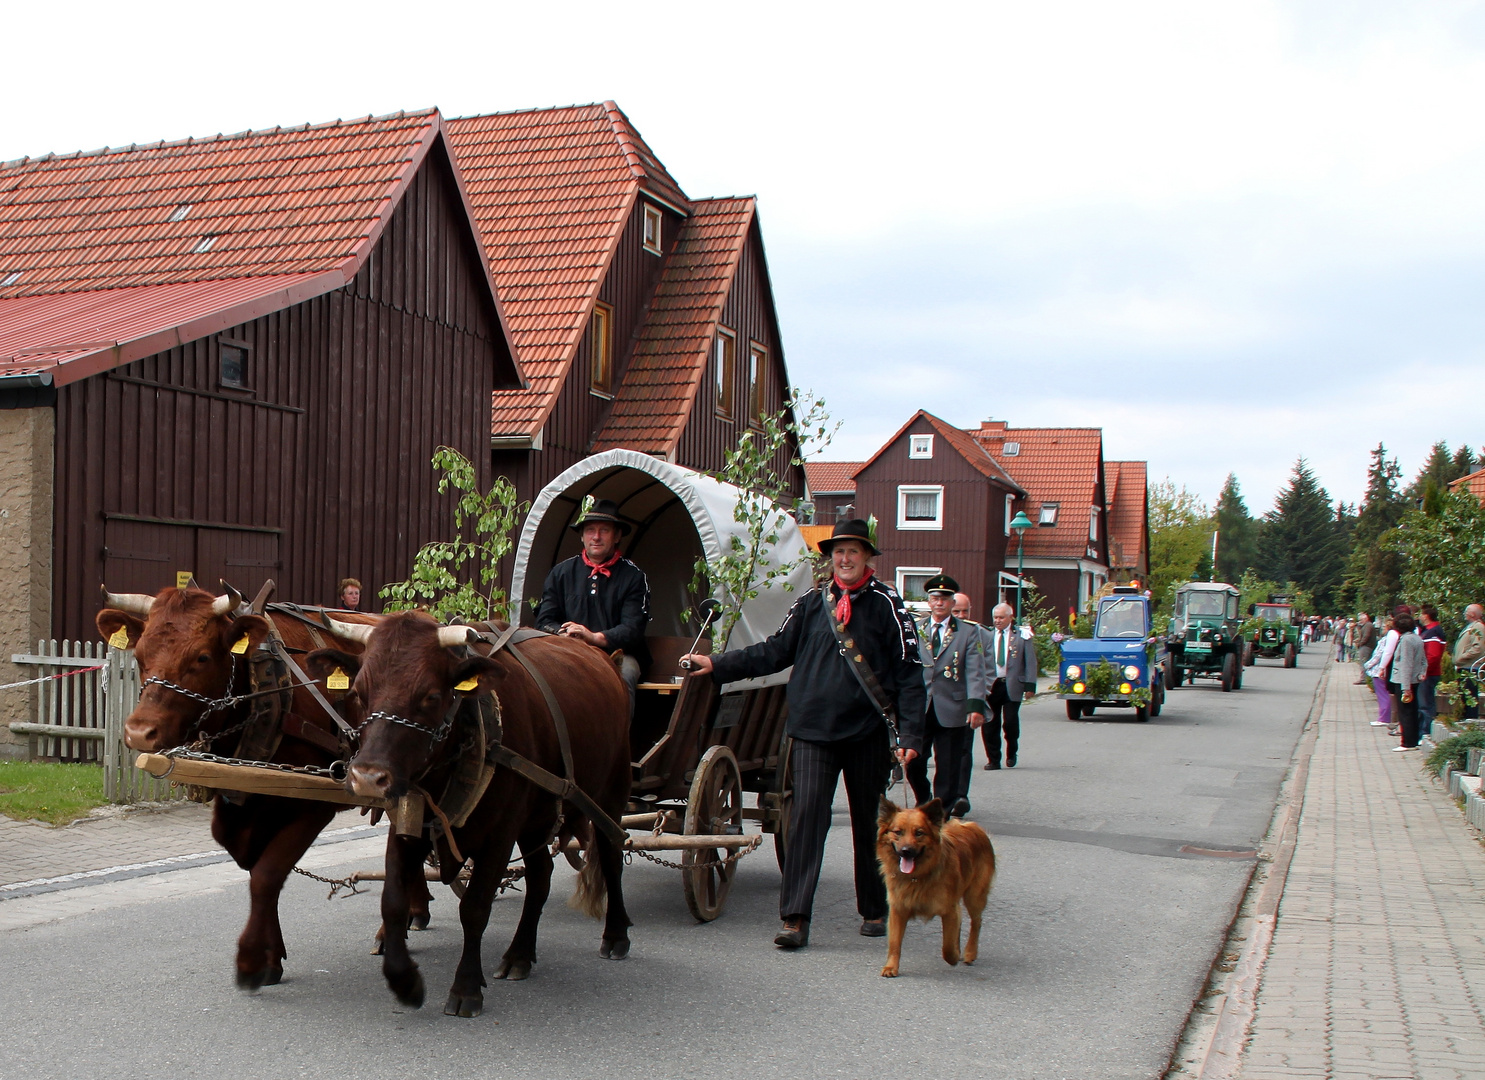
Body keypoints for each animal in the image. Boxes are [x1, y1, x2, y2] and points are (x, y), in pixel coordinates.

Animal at [873, 796, 991, 980]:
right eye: (898, 832)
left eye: (919, 833)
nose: (906, 851)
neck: (918, 876)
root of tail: (972, 826)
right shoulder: (898, 910)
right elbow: (894, 943)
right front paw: (891, 967)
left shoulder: (949, 910)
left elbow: (947, 947)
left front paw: (954, 955)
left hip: (974, 896)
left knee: (976, 922)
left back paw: (970, 952)